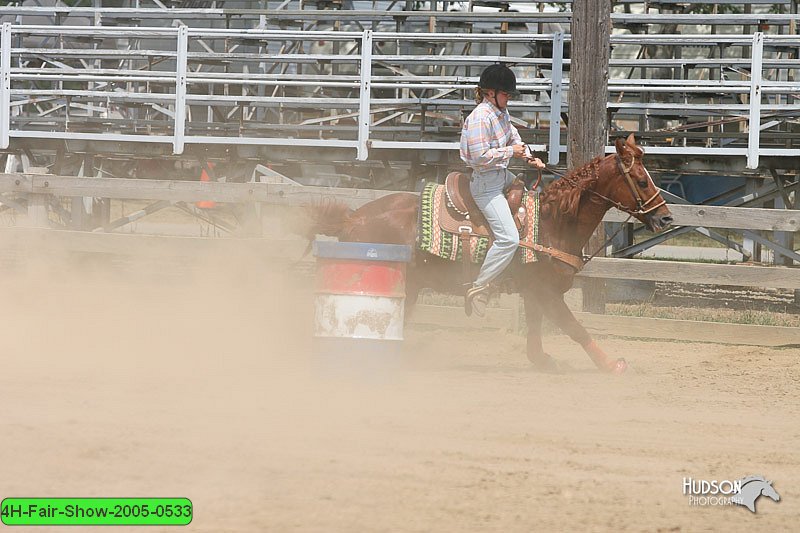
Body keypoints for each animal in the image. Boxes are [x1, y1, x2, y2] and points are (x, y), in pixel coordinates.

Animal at [310, 135, 672, 372]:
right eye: (642, 181)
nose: (666, 218)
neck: (553, 222)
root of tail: (354, 217)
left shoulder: (533, 292)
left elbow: (536, 329)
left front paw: (542, 360)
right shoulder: (545, 291)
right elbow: (574, 327)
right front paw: (611, 364)